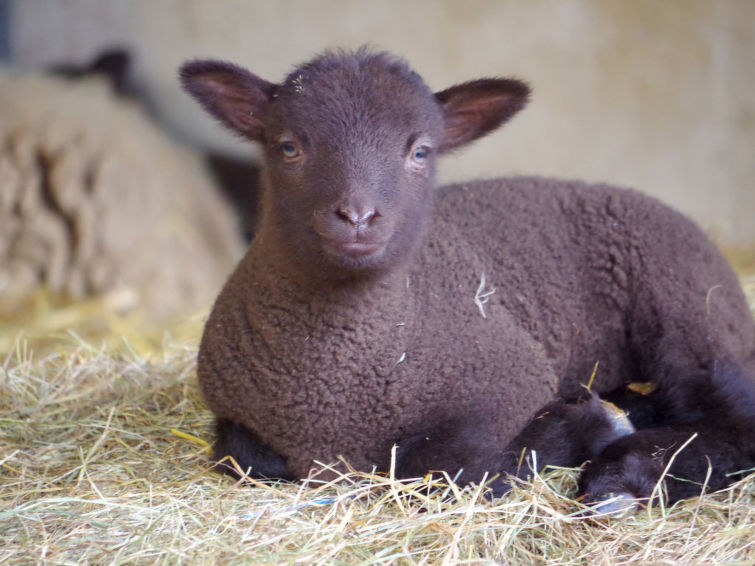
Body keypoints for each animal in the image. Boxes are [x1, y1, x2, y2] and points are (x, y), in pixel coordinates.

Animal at [182, 48, 755, 508]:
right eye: (288, 147)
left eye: (420, 151)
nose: (357, 217)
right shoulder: (235, 412)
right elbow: (244, 457)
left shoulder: (508, 377)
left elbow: (443, 465)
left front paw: (581, 429)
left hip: (687, 307)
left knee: (734, 413)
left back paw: (625, 474)